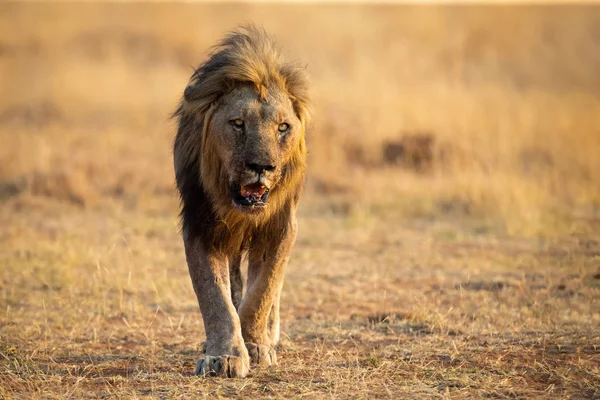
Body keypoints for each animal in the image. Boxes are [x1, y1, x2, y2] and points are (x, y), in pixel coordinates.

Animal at [170, 25, 308, 378]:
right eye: (237, 123)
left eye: (283, 127)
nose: (262, 166)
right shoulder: (200, 226)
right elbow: (215, 297)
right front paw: (224, 355)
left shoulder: (281, 227)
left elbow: (263, 290)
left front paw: (257, 345)